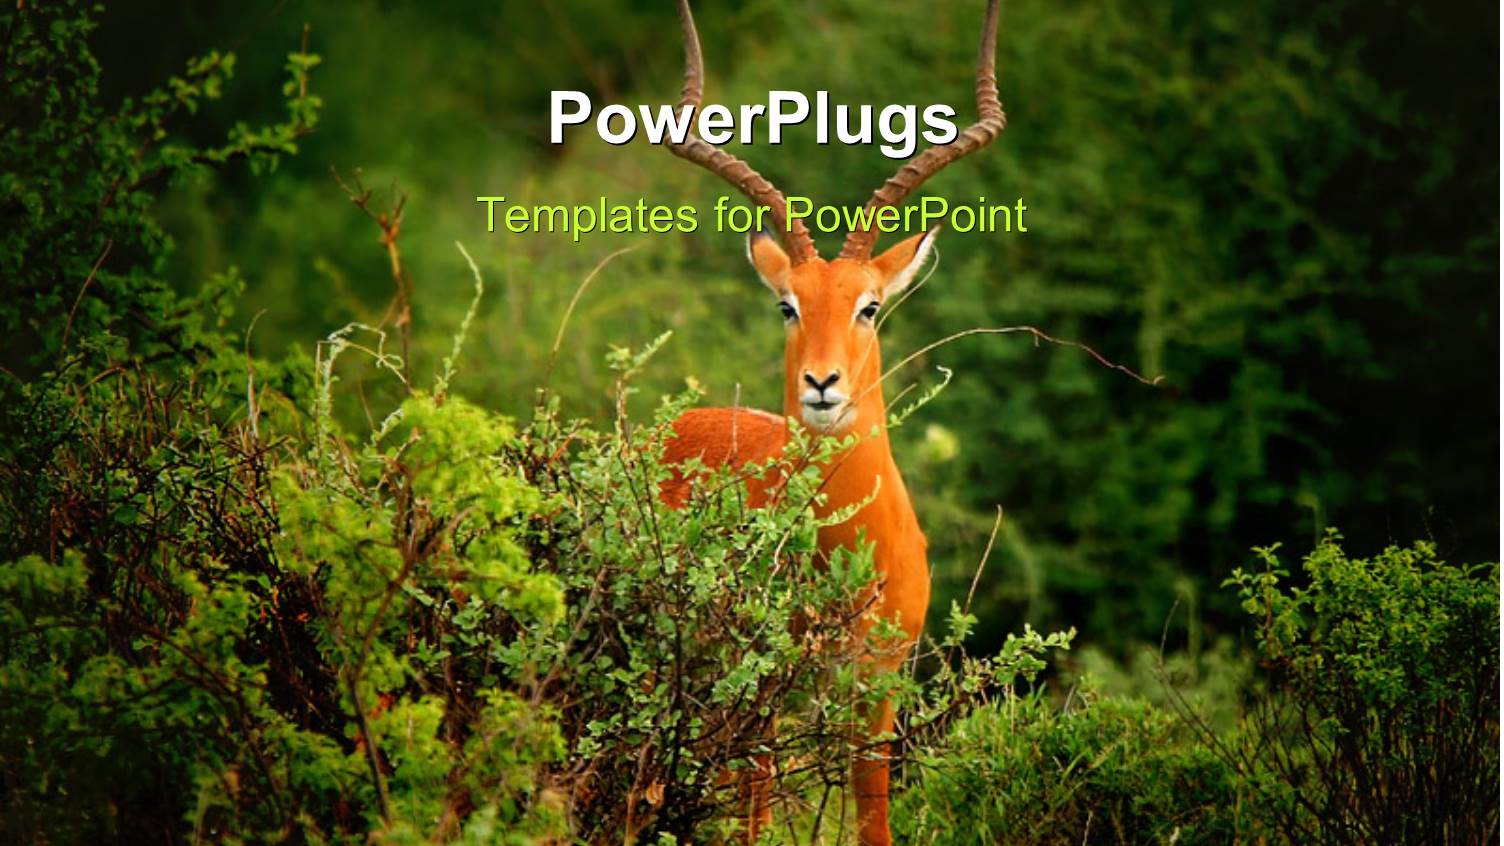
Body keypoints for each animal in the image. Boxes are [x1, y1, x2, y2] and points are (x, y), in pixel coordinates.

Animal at [655, 1, 1005, 843]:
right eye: (788, 306)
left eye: (868, 306)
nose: (821, 383)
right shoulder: (763, 691)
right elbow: (755, 817)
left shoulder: (875, 694)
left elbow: (872, 818)